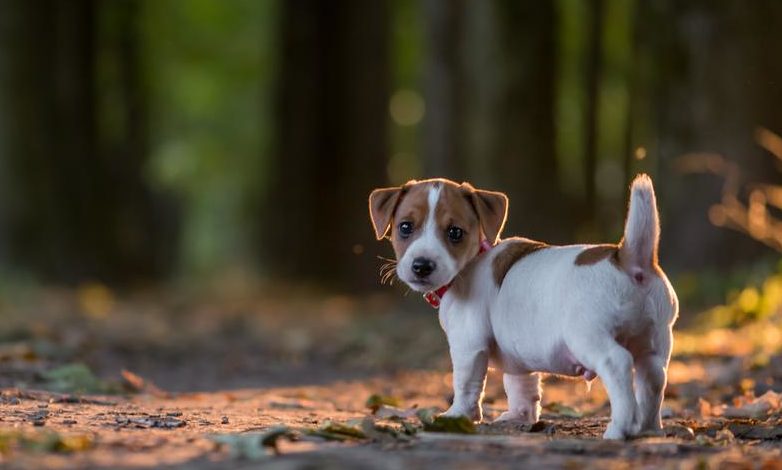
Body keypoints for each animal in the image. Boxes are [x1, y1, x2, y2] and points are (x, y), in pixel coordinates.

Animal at [368, 174, 680, 438]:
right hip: (654, 342)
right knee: (654, 377)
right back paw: (649, 428)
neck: (473, 261)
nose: (422, 266)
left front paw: (457, 415)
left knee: (618, 364)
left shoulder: (468, 344)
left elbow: (466, 384)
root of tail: (629, 261)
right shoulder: (519, 360)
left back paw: (621, 428)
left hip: (589, 338)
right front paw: (520, 416)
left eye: (455, 232)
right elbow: (521, 386)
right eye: (405, 227)